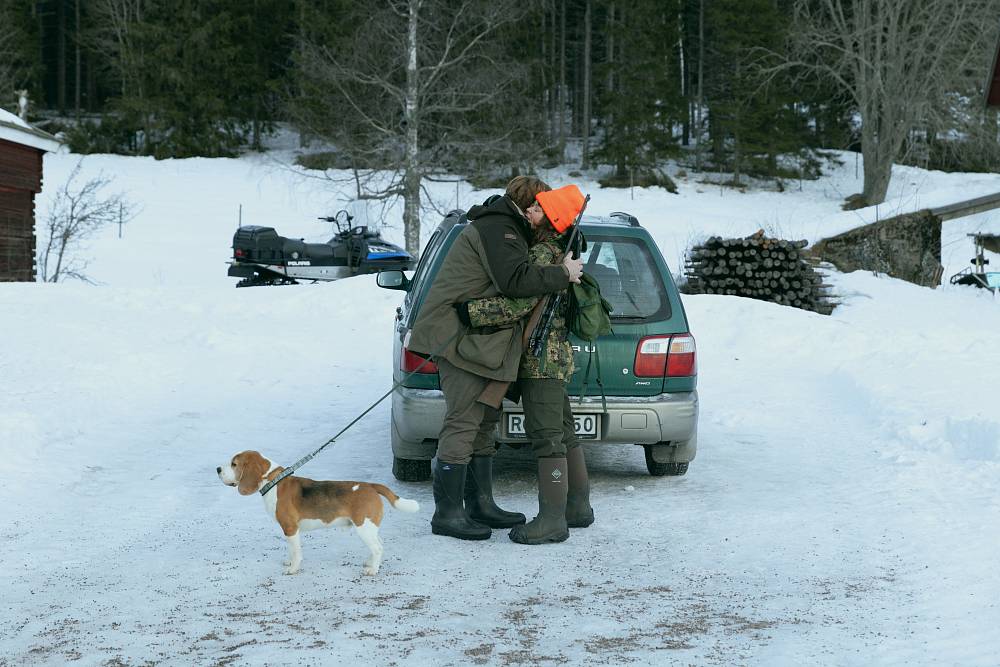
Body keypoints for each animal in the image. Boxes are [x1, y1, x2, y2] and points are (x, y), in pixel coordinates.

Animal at [217, 452, 420, 576]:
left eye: (234, 464)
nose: (218, 469)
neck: (273, 481)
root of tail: (371, 486)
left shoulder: (290, 528)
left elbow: (296, 552)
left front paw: (293, 569)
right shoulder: (289, 530)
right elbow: (291, 550)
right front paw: (289, 562)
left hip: (364, 527)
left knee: (377, 548)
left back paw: (373, 570)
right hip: (369, 527)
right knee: (380, 545)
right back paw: (370, 563)